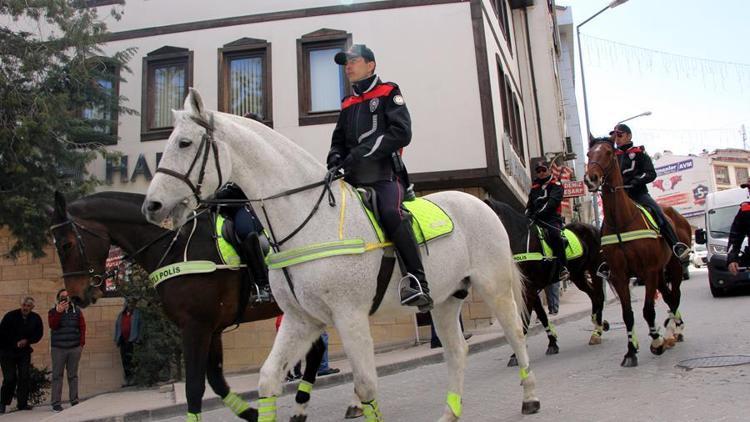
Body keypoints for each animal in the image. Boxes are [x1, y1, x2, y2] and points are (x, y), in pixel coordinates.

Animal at [47, 192, 340, 422]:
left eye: (67, 244)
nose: (77, 296)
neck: (175, 245)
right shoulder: (211, 329)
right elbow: (217, 382)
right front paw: (255, 414)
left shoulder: (196, 327)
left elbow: (194, 387)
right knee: (316, 352)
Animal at [141, 90, 540, 422]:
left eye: (185, 142)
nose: (152, 206)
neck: (308, 218)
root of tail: (479, 202)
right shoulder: (302, 320)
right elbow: (269, 379)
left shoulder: (349, 317)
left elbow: (366, 385)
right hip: (444, 301)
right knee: (457, 352)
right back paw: (449, 414)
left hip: (495, 289)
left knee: (517, 335)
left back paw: (530, 398)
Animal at [484, 198, 608, 366]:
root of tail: (593, 228)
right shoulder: (529, 290)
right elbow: (540, 316)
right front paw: (551, 344)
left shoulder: (529, 289)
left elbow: (527, 319)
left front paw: (518, 355)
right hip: (578, 275)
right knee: (594, 296)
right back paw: (598, 326)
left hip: (594, 270)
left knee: (599, 296)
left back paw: (597, 333)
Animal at [588, 138, 692, 366]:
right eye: (590, 153)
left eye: (608, 153)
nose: (591, 178)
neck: (622, 221)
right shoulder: (619, 276)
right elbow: (628, 314)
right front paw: (630, 351)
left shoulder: (649, 272)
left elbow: (648, 310)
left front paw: (657, 343)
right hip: (661, 274)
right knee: (670, 298)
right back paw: (671, 332)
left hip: (674, 268)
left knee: (675, 296)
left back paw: (674, 331)